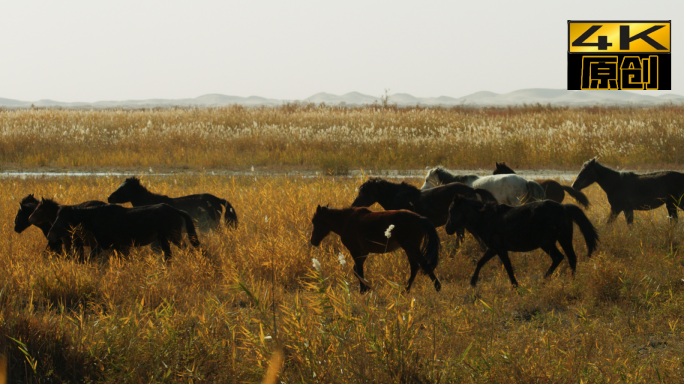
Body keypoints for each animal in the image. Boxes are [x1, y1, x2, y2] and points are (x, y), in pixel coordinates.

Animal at [47, 202, 202, 260]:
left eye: (63, 219)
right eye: (57, 216)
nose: (50, 235)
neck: (98, 217)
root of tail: (176, 210)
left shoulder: (104, 244)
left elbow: (91, 257)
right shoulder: (117, 246)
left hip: (171, 237)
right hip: (168, 239)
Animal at [444, 194, 600, 286]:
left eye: (451, 210)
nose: (447, 229)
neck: (487, 218)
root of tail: (563, 207)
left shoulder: (500, 249)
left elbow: (508, 266)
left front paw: (515, 285)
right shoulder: (493, 249)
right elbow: (481, 262)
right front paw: (473, 282)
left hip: (547, 243)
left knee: (558, 257)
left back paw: (544, 279)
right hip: (564, 239)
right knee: (571, 258)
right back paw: (572, 279)